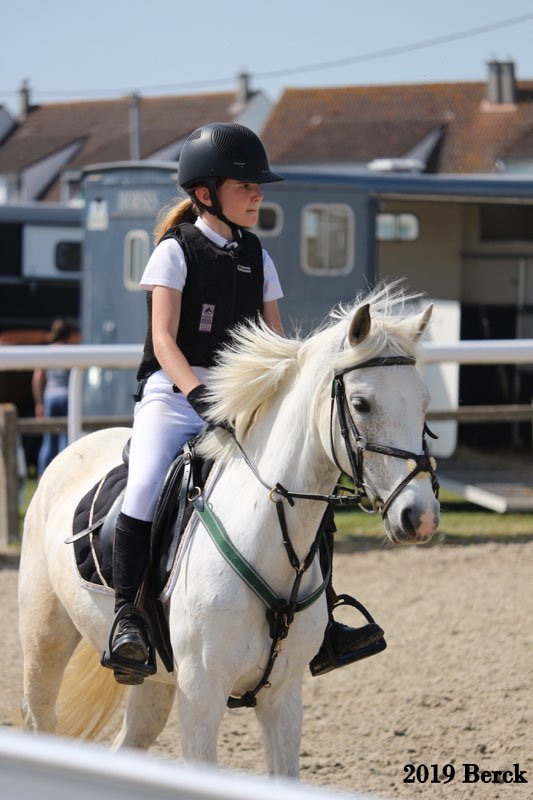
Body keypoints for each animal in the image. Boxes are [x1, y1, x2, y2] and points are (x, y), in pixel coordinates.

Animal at [18, 286, 438, 776]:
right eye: (361, 404)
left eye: (425, 403)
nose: (420, 516)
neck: (267, 541)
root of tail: (74, 449)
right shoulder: (201, 696)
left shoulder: (282, 698)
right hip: (45, 641)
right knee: (41, 718)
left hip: (157, 684)